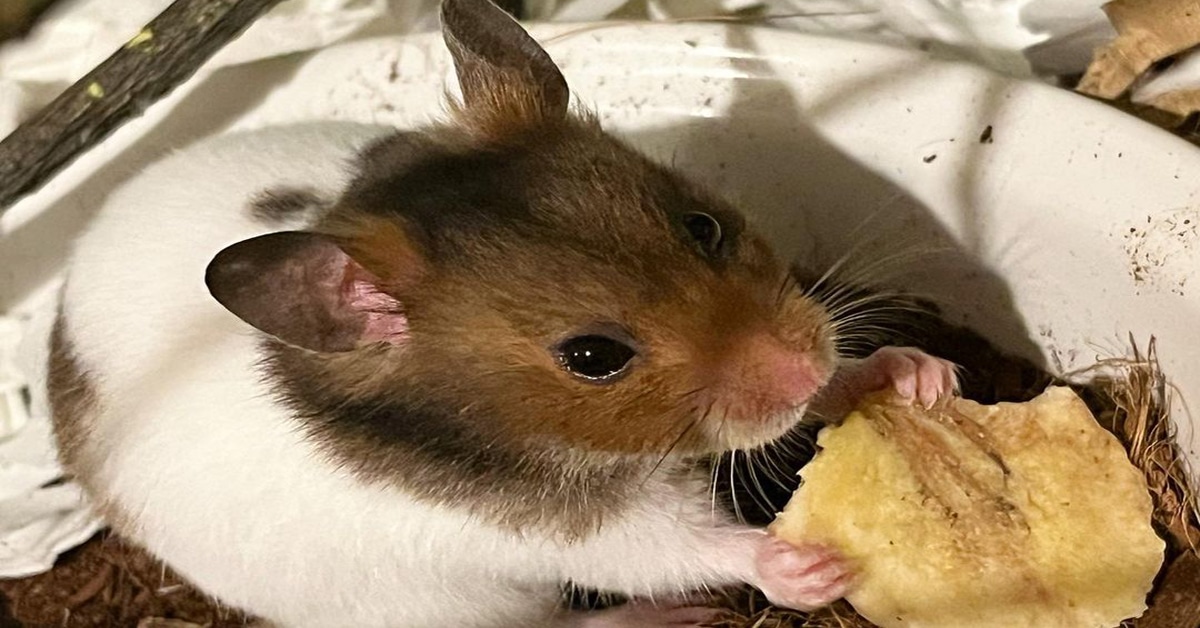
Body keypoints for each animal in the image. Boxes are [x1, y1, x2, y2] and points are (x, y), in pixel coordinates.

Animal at [46, 0, 957, 626]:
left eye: (703, 227)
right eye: (593, 357)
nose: (800, 362)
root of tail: (63, 308)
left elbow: (831, 390)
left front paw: (917, 376)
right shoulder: (560, 534)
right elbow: (677, 546)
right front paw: (809, 566)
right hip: (454, 610)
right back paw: (673, 617)